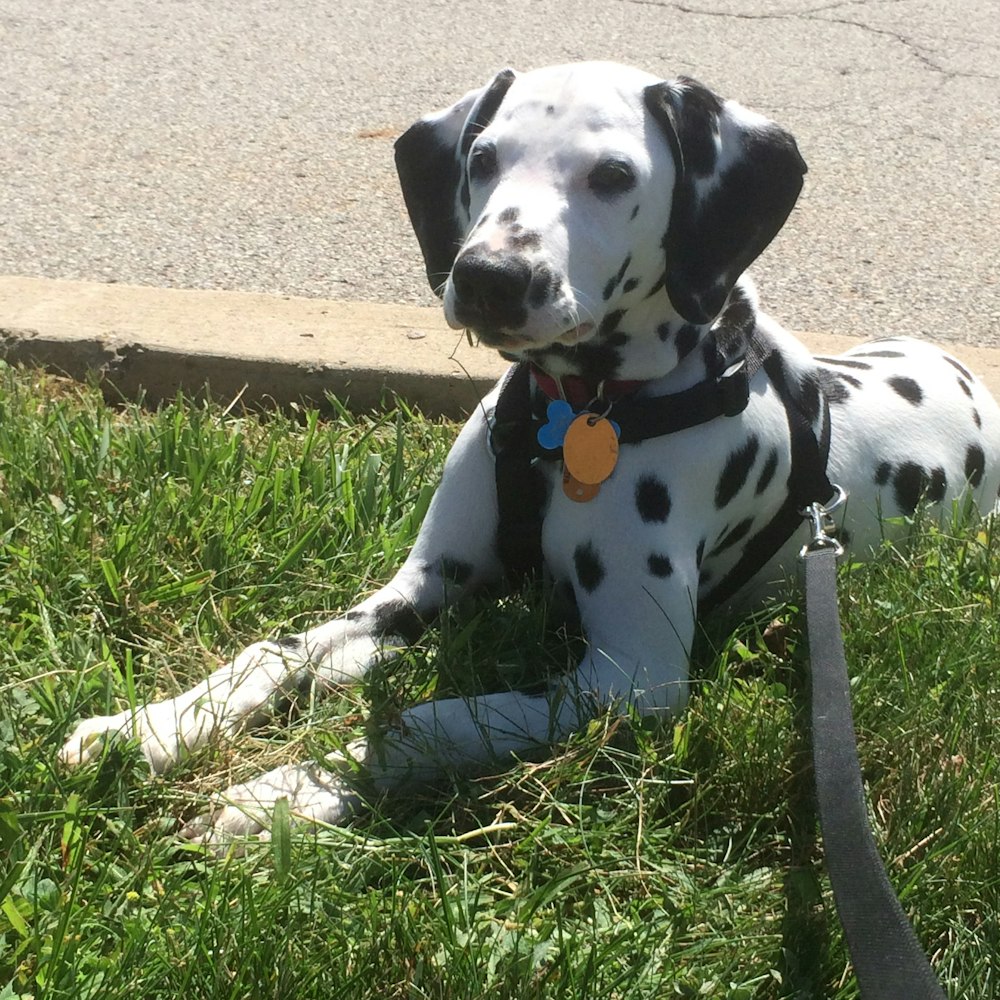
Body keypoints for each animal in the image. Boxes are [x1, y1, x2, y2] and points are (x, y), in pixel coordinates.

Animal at [60, 60, 1000, 844]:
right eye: (483, 158)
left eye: (613, 175)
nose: (488, 277)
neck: (573, 417)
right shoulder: (423, 585)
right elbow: (279, 652)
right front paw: (149, 727)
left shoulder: (629, 681)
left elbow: (417, 720)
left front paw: (284, 795)